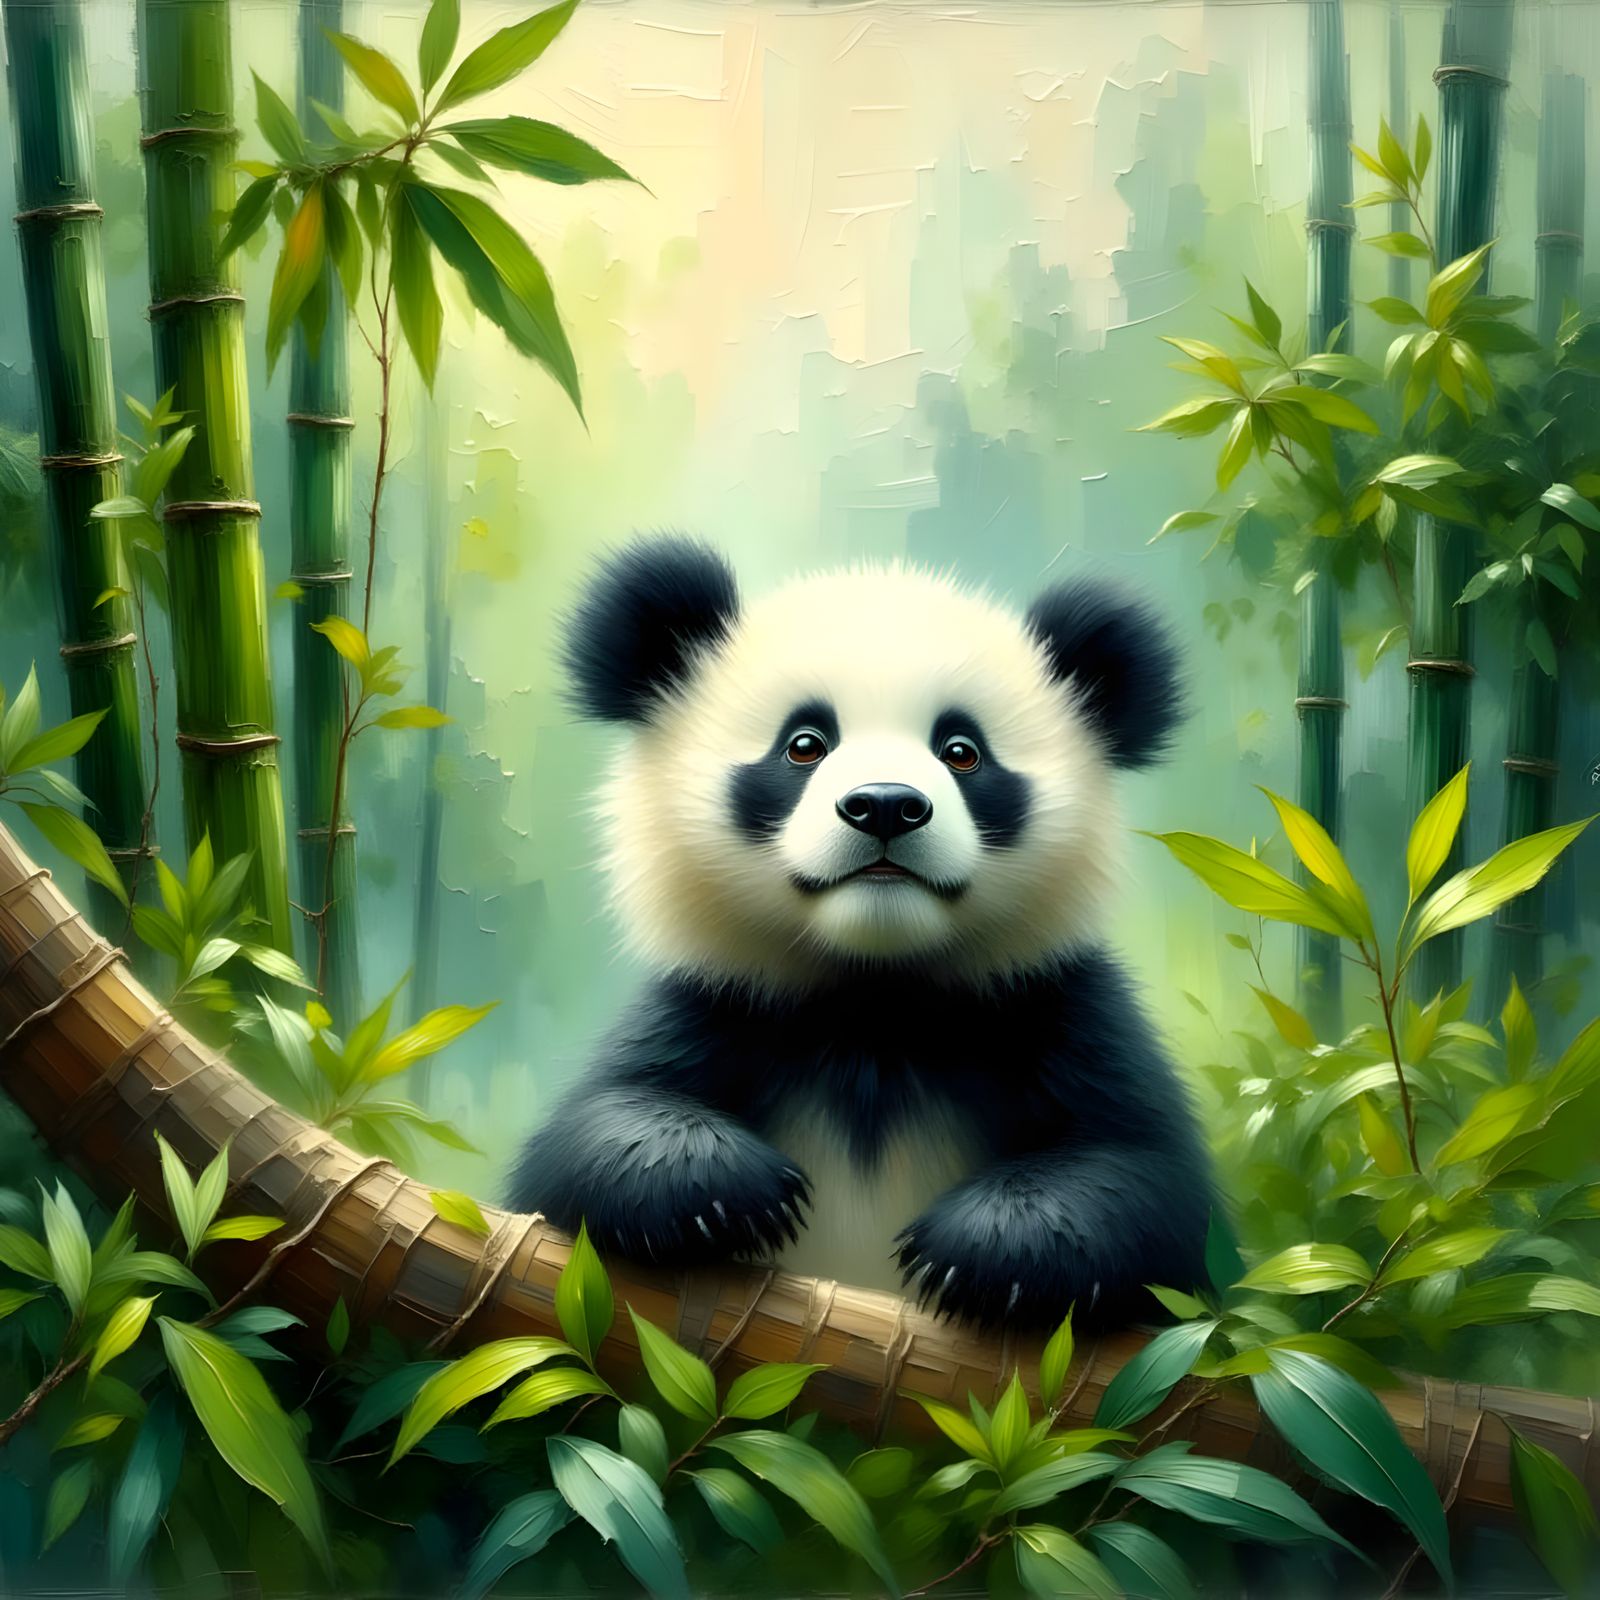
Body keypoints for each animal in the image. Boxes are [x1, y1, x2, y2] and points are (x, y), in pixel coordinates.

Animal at [509, 536, 1213, 1330]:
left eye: (962, 750)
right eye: (804, 744)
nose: (884, 805)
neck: (876, 1005)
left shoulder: (1051, 1002)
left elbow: (1147, 1178)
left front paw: (985, 1249)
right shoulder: (720, 999)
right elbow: (586, 1140)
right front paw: (729, 1192)